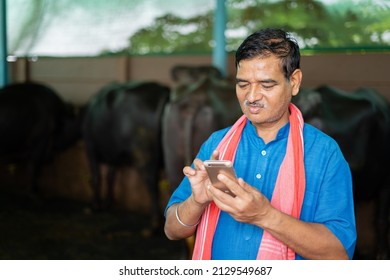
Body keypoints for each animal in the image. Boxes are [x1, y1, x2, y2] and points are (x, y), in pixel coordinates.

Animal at [82, 80, 169, 230]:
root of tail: (161, 91)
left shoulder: (90, 146)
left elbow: (96, 177)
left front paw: (94, 205)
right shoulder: (115, 157)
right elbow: (110, 176)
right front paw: (108, 203)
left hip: (143, 155)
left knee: (152, 182)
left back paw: (154, 222)